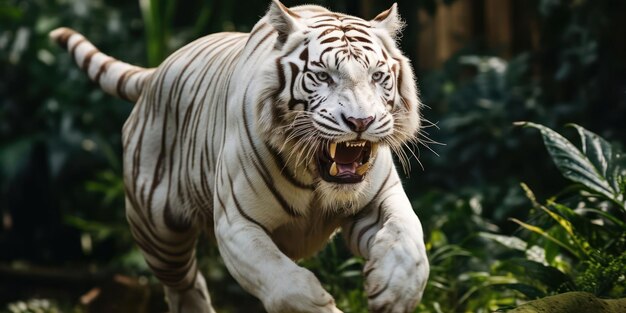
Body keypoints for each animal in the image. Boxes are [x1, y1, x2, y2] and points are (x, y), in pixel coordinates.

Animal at [51, 1, 426, 310]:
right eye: (322, 76)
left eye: (377, 76)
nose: (361, 122)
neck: (316, 178)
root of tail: (156, 70)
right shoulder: (237, 224)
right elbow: (285, 284)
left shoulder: (380, 197)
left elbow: (409, 240)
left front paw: (394, 291)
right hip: (157, 229)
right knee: (184, 285)